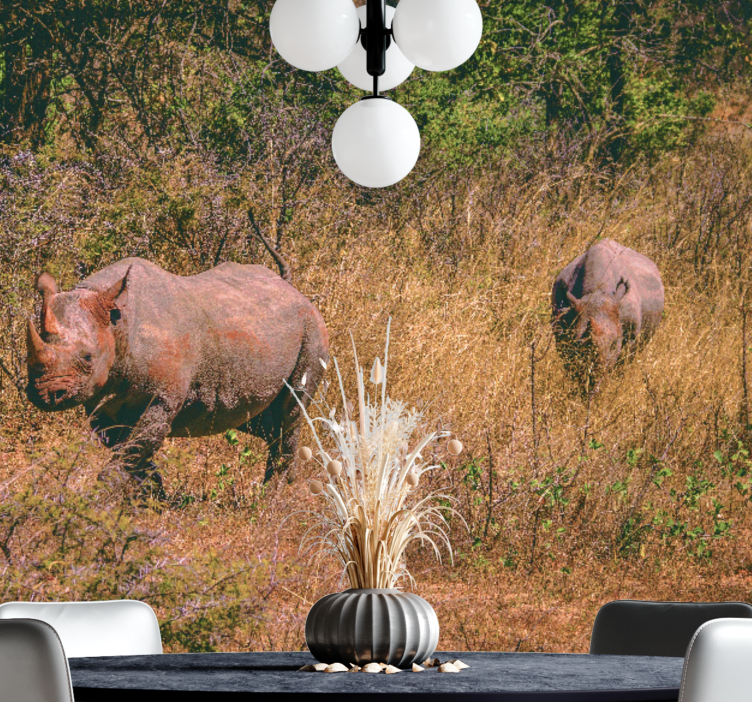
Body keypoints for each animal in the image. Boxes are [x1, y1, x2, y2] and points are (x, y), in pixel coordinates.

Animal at [26, 247, 329, 487]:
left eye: (88, 358)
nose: (45, 394)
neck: (117, 323)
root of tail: (295, 290)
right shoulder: (101, 398)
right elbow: (131, 452)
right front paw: (153, 496)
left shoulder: (161, 398)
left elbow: (135, 448)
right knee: (262, 422)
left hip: (312, 330)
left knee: (289, 412)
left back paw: (270, 500)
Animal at [551, 238, 664, 387]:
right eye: (579, 342)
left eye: (614, 343)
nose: (597, 374)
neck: (597, 291)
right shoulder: (562, 330)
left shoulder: (631, 335)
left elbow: (622, 362)